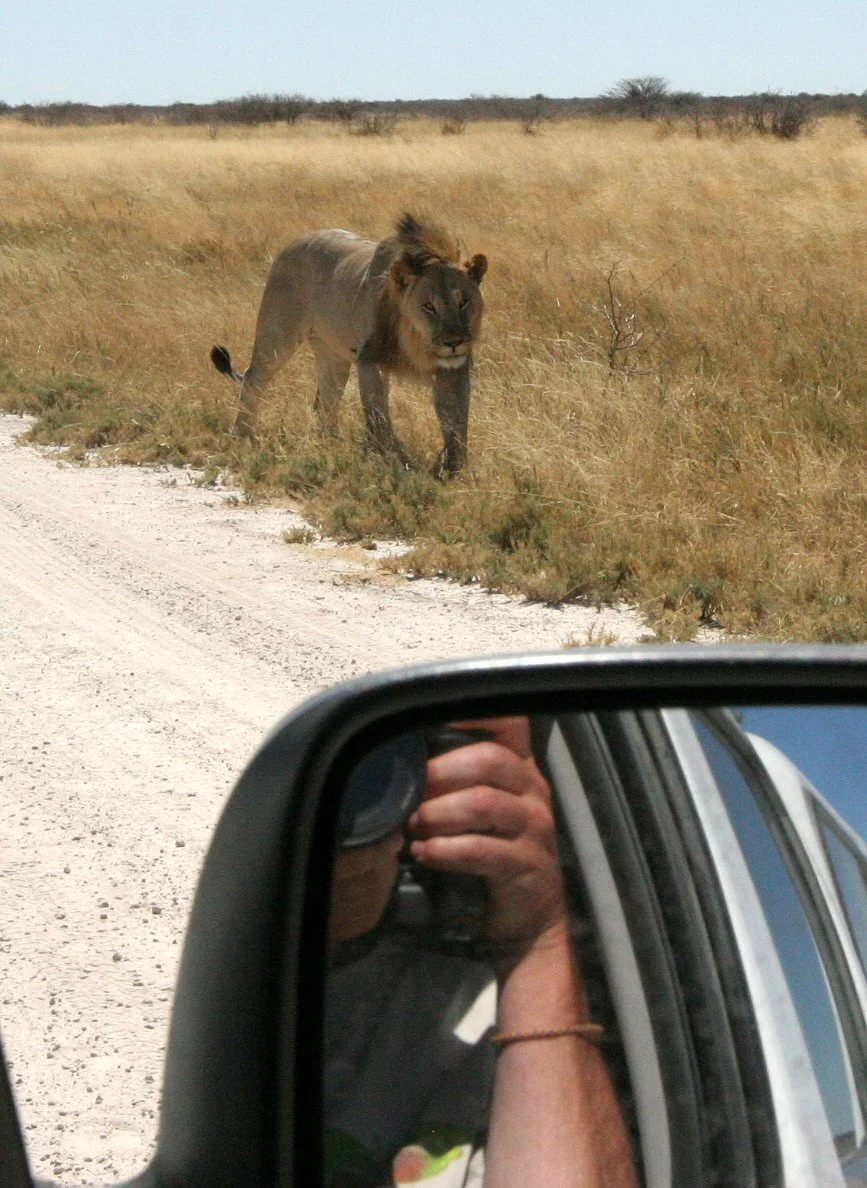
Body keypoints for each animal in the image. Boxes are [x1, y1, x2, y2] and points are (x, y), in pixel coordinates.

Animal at [211, 213, 487, 476]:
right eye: (428, 306)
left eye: (463, 302)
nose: (454, 342)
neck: (417, 345)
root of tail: (294, 242)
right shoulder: (370, 361)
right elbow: (378, 417)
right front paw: (393, 456)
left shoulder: (452, 371)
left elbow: (456, 424)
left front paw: (454, 469)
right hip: (278, 334)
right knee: (254, 377)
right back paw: (242, 434)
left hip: (333, 357)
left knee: (325, 402)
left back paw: (330, 443)